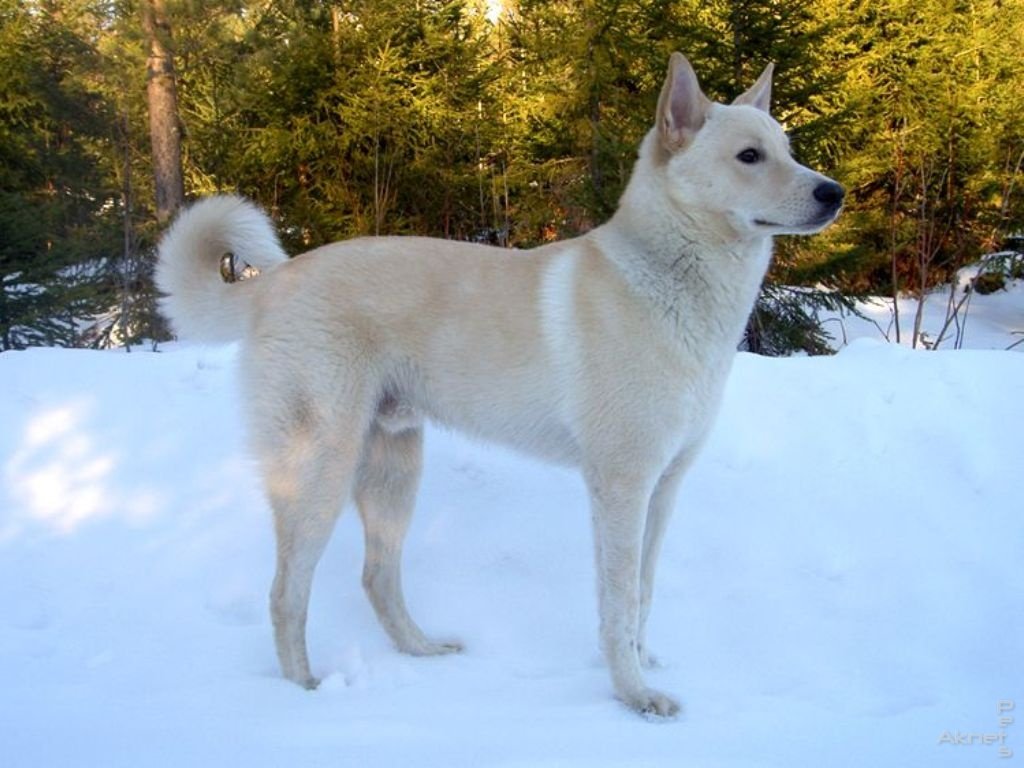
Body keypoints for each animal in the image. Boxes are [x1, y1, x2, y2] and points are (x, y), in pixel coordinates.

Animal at [151, 52, 839, 716]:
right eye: (749, 156)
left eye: (788, 148)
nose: (834, 193)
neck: (667, 280)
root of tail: (274, 282)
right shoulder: (621, 486)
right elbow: (617, 605)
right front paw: (633, 695)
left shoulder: (664, 488)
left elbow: (642, 595)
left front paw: (646, 667)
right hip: (319, 472)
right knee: (286, 593)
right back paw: (305, 694)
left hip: (394, 471)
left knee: (377, 577)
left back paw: (424, 651)